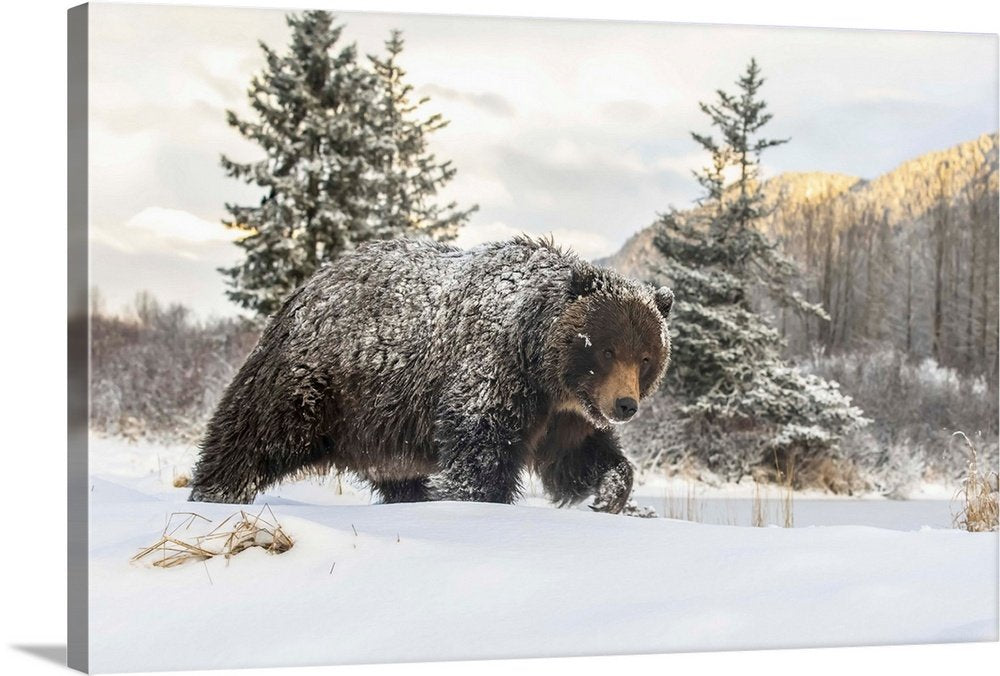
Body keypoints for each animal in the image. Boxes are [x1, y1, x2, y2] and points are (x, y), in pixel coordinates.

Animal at [189, 236, 674, 513]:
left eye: (646, 357)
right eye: (607, 349)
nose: (625, 405)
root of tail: (305, 288)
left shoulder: (562, 414)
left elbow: (578, 457)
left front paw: (610, 492)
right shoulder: (494, 375)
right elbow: (479, 453)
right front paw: (467, 498)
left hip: (380, 432)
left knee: (397, 476)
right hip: (317, 384)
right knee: (252, 434)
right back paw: (215, 493)